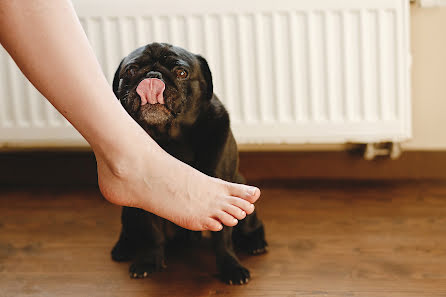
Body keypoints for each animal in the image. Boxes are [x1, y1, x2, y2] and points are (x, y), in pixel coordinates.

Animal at [110, 42, 266, 284]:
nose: (152, 75)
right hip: (129, 209)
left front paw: (231, 267)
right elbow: (152, 233)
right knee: (129, 230)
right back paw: (123, 247)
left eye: (181, 73)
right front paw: (149, 261)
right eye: (131, 70)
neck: (171, 138)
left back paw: (255, 243)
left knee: (251, 227)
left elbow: (223, 238)